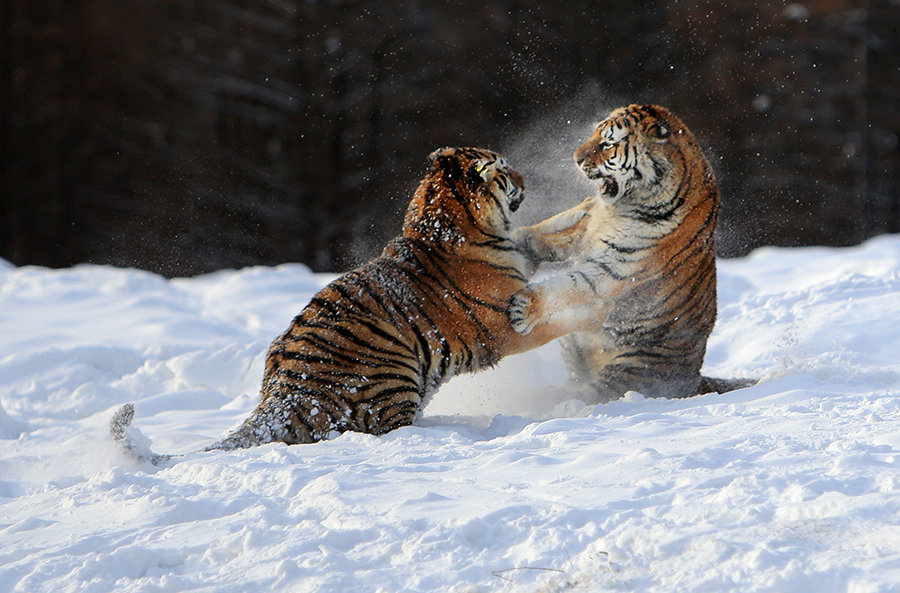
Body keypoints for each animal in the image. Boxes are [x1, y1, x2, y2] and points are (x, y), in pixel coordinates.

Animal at [112, 145, 596, 462]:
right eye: (506, 171)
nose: (526, 180)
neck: (451, 225)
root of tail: (280, 395)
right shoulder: (505, 326)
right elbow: (557, 319)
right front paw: (594, 312)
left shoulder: (520, 256)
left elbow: (540, 233)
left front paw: (586, 209)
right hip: (396, 376)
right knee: (386, 430)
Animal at [510, 105, 756, 402]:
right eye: (593, 134)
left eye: (607, 144)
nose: (576, 159)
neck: (622, 207)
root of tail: (695, 376)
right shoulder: (590, 222)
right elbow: (561, 230)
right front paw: (524, 240)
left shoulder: (613, 270)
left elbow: (565, 285)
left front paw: (523, 308)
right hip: (572, 345)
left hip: (629, 369)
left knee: (588, 393)